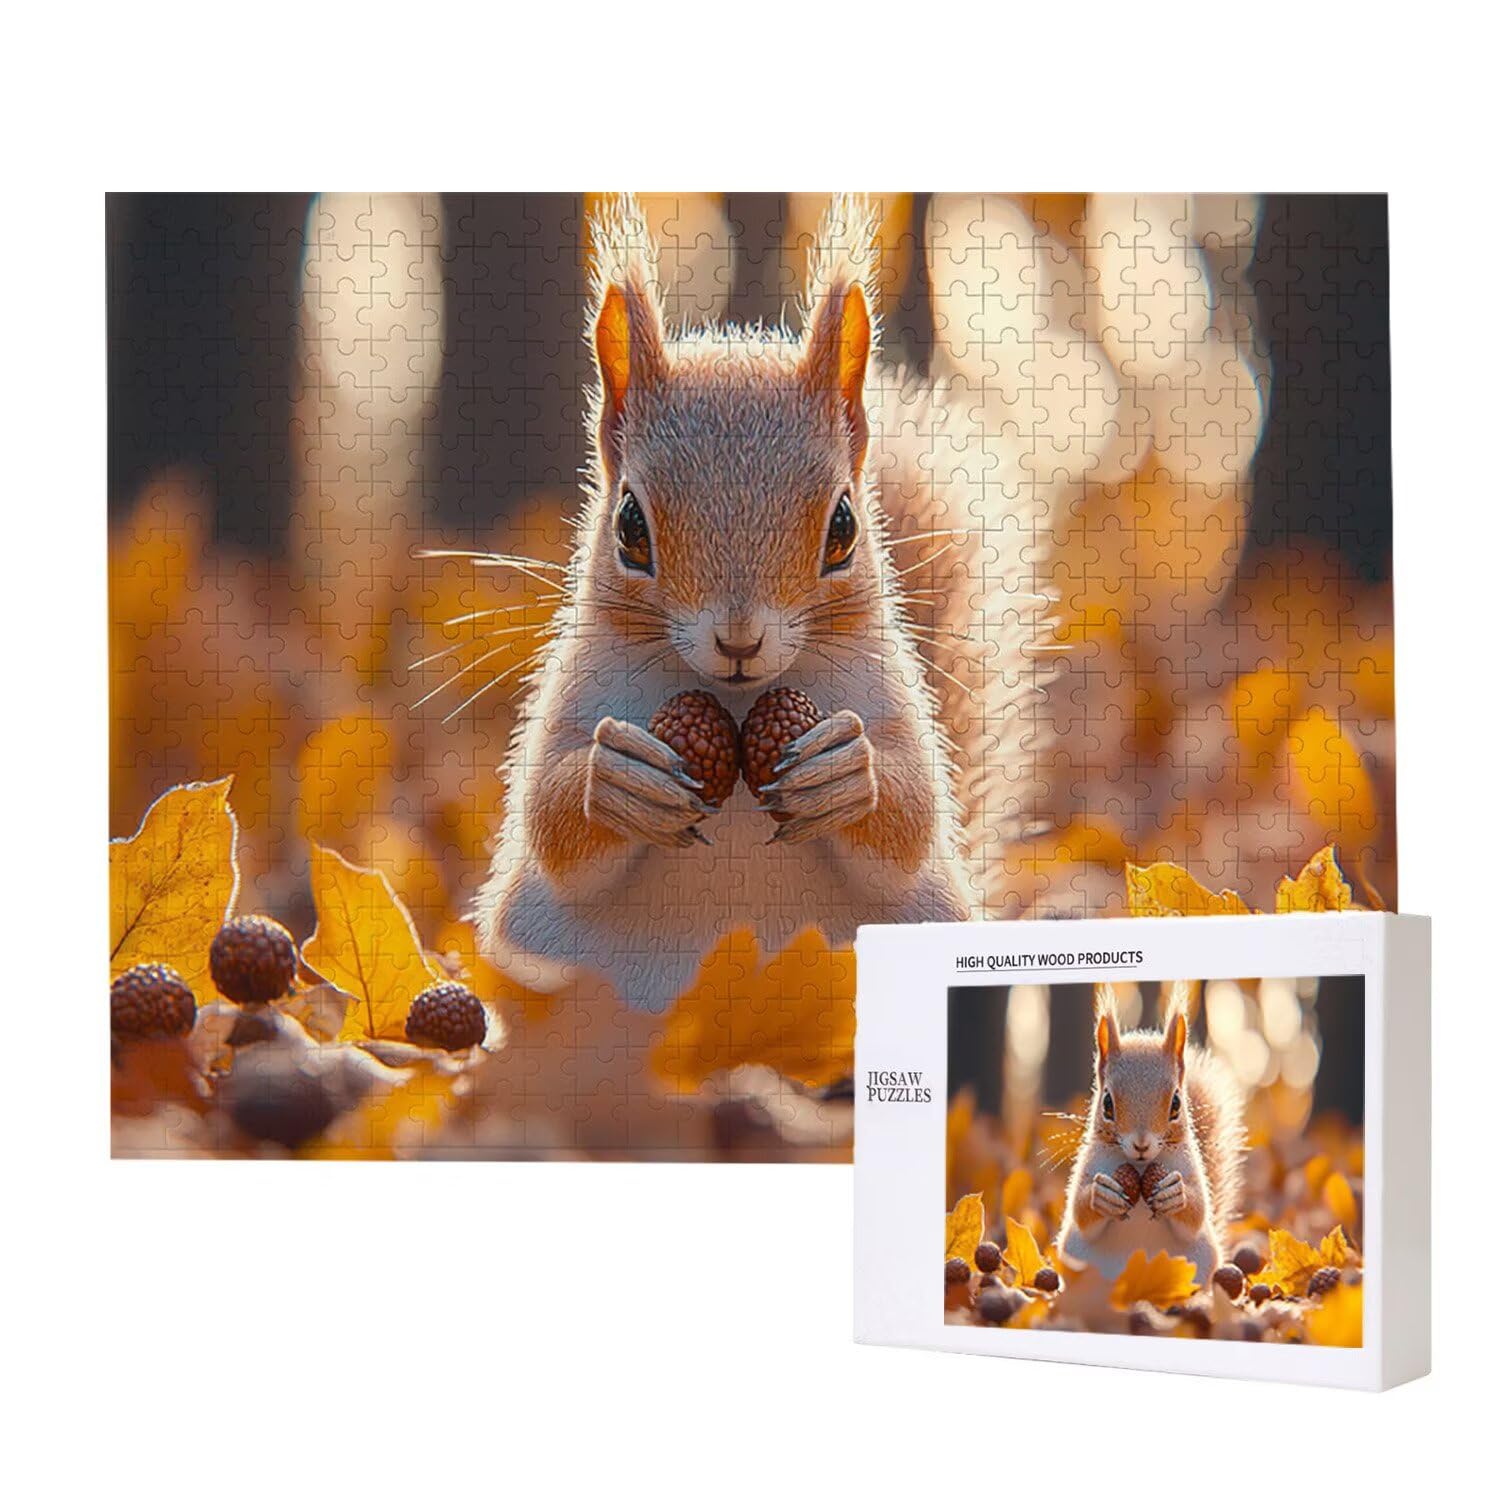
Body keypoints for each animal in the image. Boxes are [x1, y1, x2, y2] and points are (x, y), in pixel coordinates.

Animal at [477, 196, 1048, 1012]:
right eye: (629, 526)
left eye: (843, 527)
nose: (739, 642)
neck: (740, 704)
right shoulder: (568, 695)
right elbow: (550, 820)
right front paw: (612, 777)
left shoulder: (895, 698)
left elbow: (912, 818)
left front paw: (848, 773)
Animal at [1055, 983, 1245, 1285]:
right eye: (1107, 1104)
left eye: (1176, 1103)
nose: (1141, 1145)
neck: (1141, 1167)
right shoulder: (1086, 1167)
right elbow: (1080, 1208)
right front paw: (1101, 1194)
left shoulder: (1192, 1168)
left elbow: (1197, 1210)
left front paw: (1175, 1193)